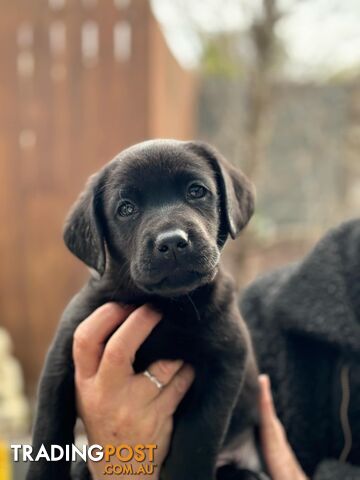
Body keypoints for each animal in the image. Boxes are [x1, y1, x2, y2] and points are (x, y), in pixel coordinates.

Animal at [26, 140, 262, 480]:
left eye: (196, 191)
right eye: (126, 209)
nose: (173, 242)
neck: (167, 304)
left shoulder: (224, 363)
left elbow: (195, 443)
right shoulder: (63, 353)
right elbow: (49, 428)